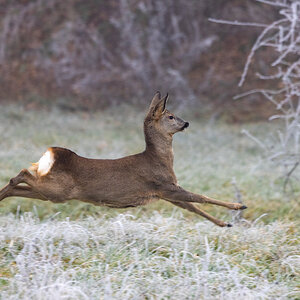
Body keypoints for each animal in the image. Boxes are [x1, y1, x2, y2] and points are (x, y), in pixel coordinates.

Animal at [0, 92, 246, 226]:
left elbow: (192, 207)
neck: (159, 160)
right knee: (22, 173)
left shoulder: (165, 192)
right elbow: (201, 197)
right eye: (170, 116)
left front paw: (225, 223)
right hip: (58, 189)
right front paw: (238, 205)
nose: (186, 123)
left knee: (19, 185)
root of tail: (50, 154)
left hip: (51, 192)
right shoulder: (164, 186)